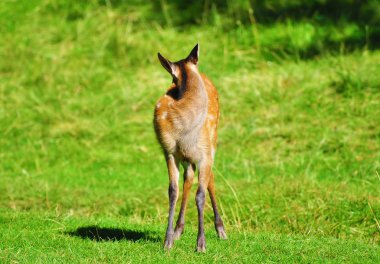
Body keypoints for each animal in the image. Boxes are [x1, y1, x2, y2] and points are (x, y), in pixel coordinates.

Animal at [154, 44, 227, 253]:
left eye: (172, 77)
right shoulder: (169, 152)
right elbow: (173, 191)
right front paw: (167, 240)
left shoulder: (205, 155)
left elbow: (200, 195)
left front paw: (201, 243)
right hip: (188, 158)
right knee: (189, 178)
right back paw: (179, 229)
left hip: (213, 140)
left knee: (210, 179)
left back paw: (221, 229)